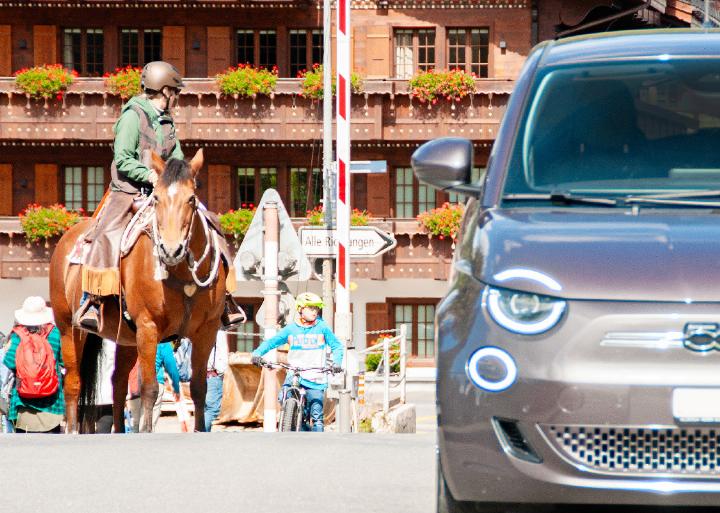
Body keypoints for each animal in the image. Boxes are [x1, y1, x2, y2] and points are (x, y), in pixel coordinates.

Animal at [49, 149, 228, 432]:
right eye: (156, 198)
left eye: (191, 198)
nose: (171, 249)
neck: (180, 272)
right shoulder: (148, 326)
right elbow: (149, 388)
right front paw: (145, 430)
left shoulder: (206, 330)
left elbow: (200, 387)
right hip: (69, 328)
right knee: (74, 383)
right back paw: (73, 429)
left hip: (126, 338)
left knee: (118, 384)